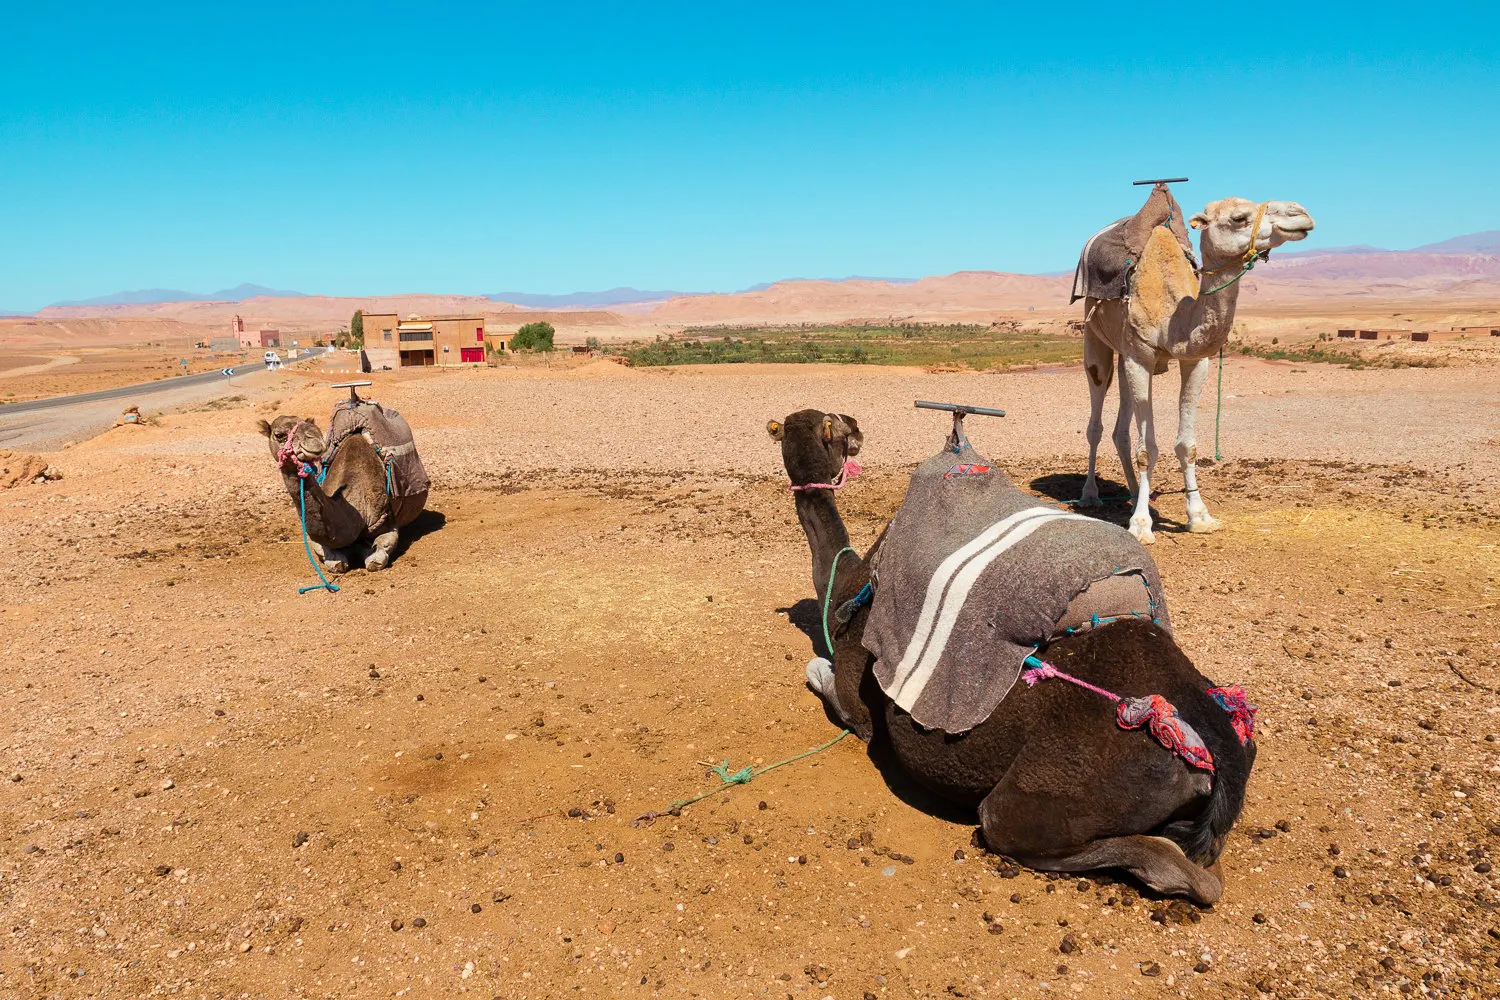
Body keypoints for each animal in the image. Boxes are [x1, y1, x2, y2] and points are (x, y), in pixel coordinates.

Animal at [257, 414, 426, 572]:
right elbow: (335, 562)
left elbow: (375, 560)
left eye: (311, 425)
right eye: (279, 435)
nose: (314, 437)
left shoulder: (388, 522)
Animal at [769, 409, 1255, 904]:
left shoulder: (859, 672)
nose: (856, 427)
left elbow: (827, 680)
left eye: (830, 426)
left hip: (1056, 790)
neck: (846, 580)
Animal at [1079, 195, 1315, 543]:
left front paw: (1199, 516)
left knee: (1121, 429)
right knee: (1096, 416)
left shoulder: (1193, 360)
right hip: (1096, 339)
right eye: (1239, 218)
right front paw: (1141, 525)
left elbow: (1186, 445)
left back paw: (1135, 495)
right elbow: (1147, 449)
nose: (1302, 214)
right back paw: (1090, 495)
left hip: (1124, 357)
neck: (1173, 315)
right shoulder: (1140, 356)